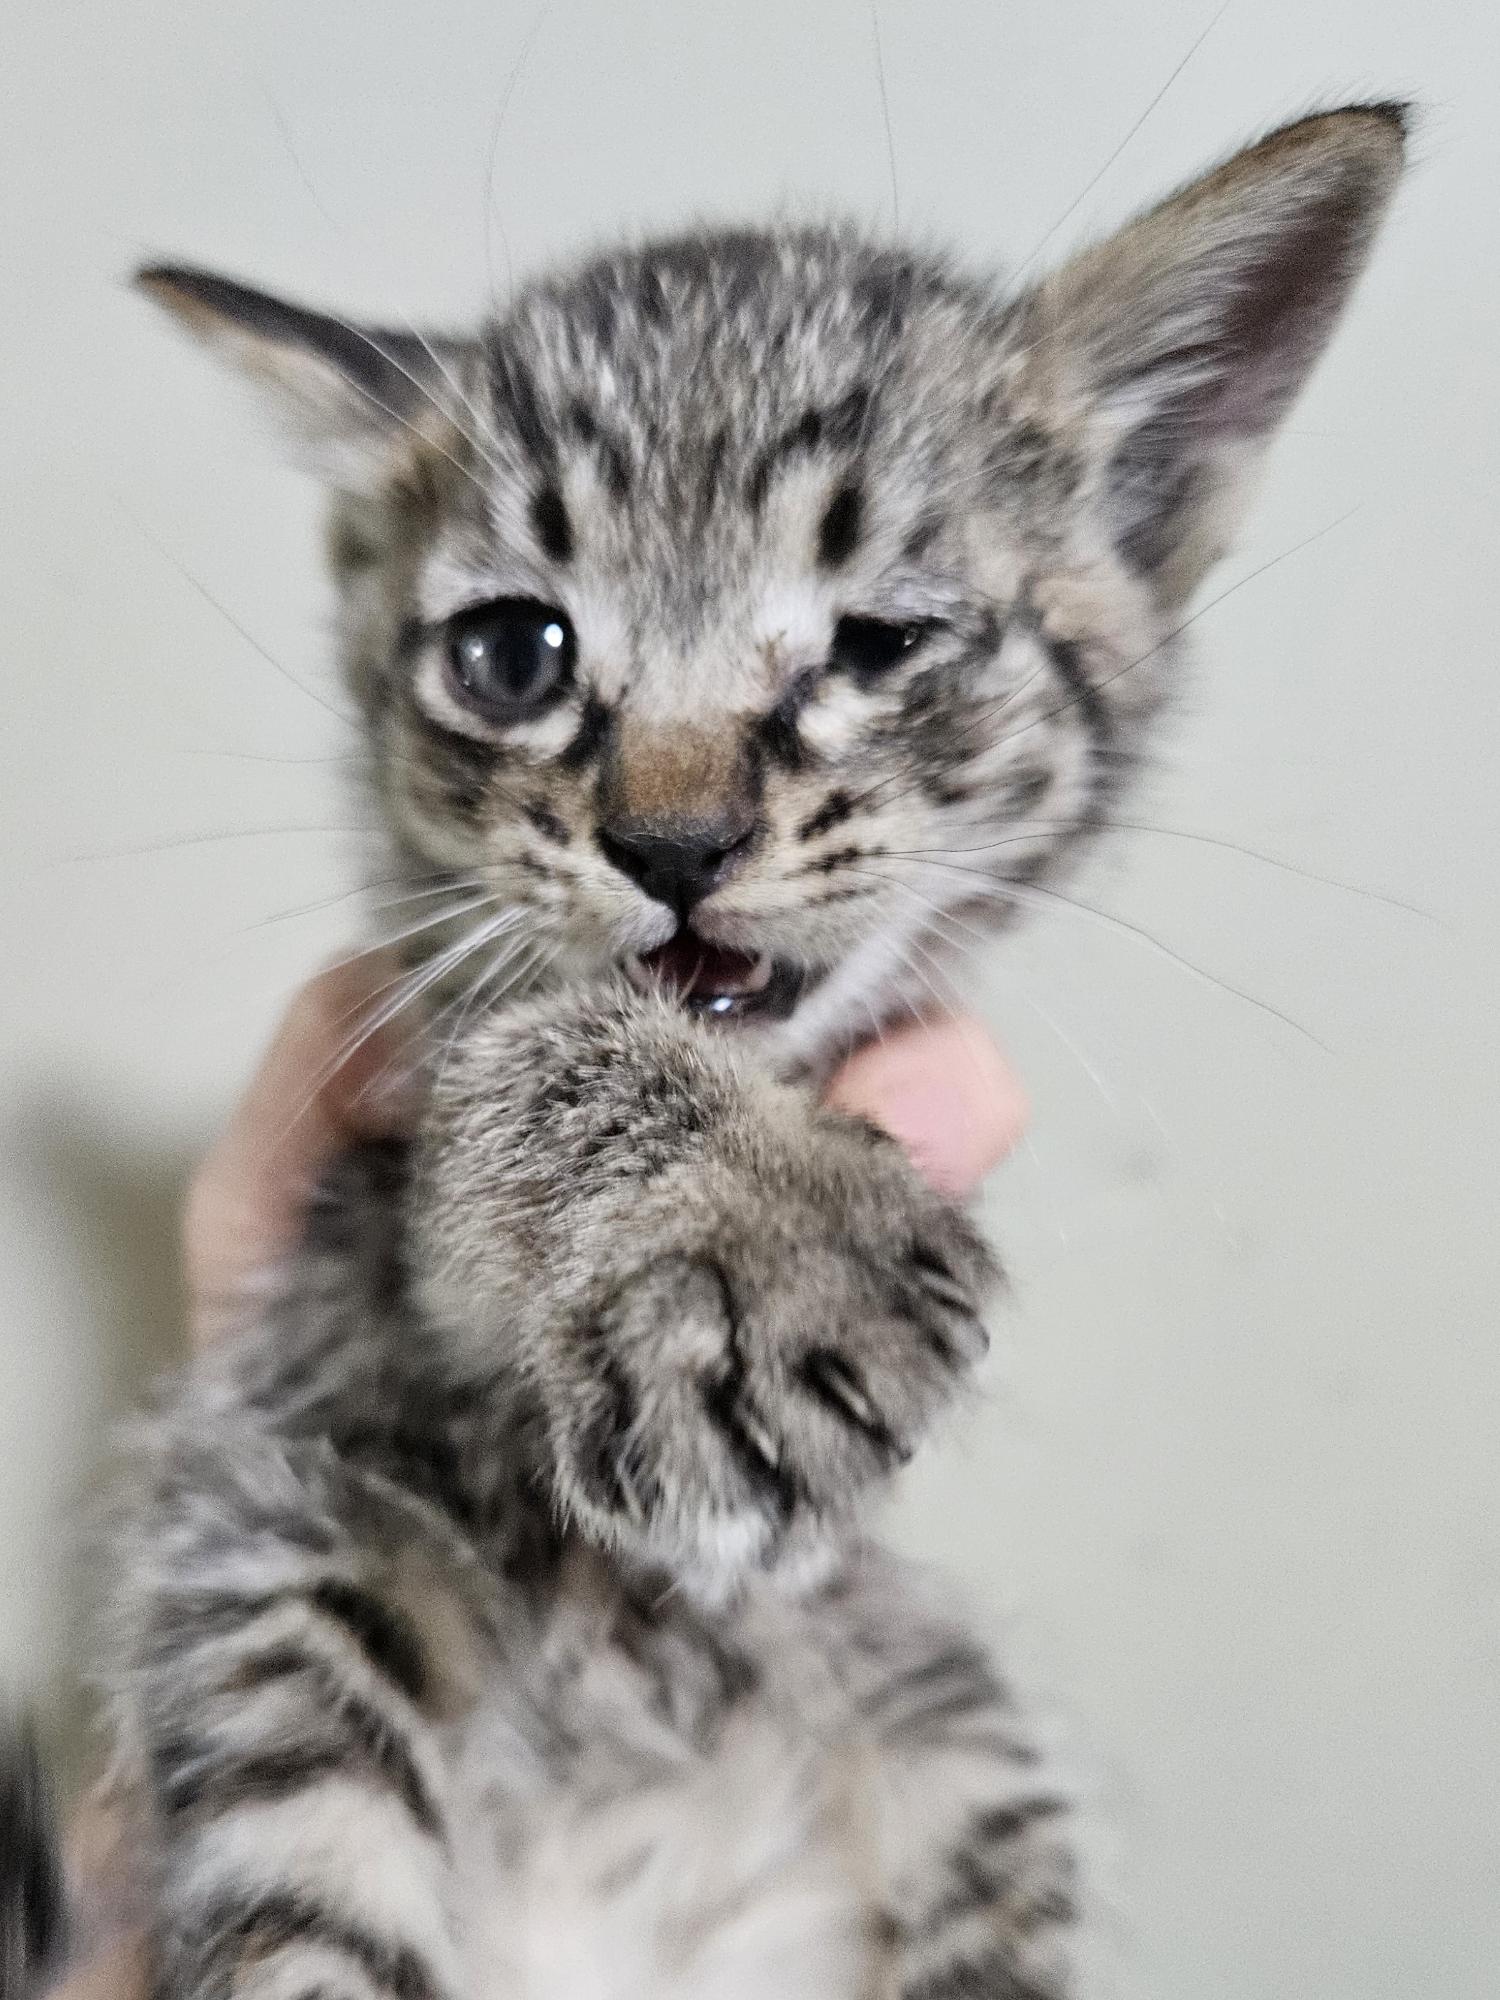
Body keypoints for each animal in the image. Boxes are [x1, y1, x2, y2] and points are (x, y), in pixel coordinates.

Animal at [14, 105, 1408, 2000]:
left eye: (881, 640)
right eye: (511, 653)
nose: (671, 843)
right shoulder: (358, 1254)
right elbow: (529, 1060)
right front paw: (756, 1234)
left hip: (960, 1732)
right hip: (274, 1577)